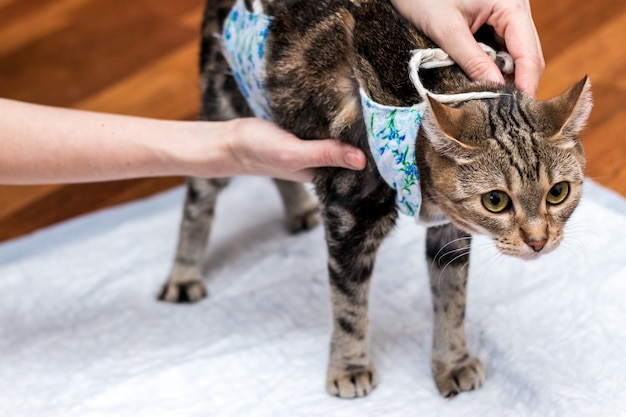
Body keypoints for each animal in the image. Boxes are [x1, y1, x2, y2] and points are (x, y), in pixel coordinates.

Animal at [157, 0, 588, 398]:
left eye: (558, 192)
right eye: (496, 201)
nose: (538, 241)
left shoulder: (448, 234)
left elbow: (452, 300)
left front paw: (452, 362)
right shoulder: (349, 220)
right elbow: (349, 307)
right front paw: (349, 367)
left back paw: (298, 210)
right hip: (225, 107)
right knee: (198, 194)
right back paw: (183, 275)